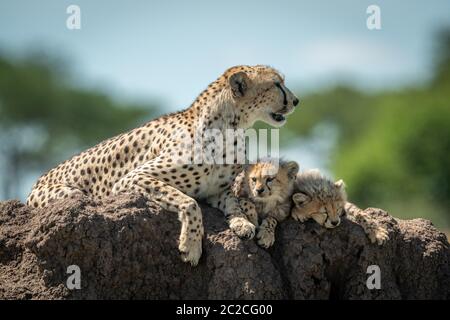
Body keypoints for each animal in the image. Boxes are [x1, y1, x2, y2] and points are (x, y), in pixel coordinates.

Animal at [26, 65, 300, 264]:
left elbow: (232, 202)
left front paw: (242, 223)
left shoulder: (217, 190)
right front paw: (191, 246)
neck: (230, 127)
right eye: (277, 84)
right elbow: (189, 202)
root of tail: (36, 182)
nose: (296, 101)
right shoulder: (130, 179)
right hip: (71, 196)